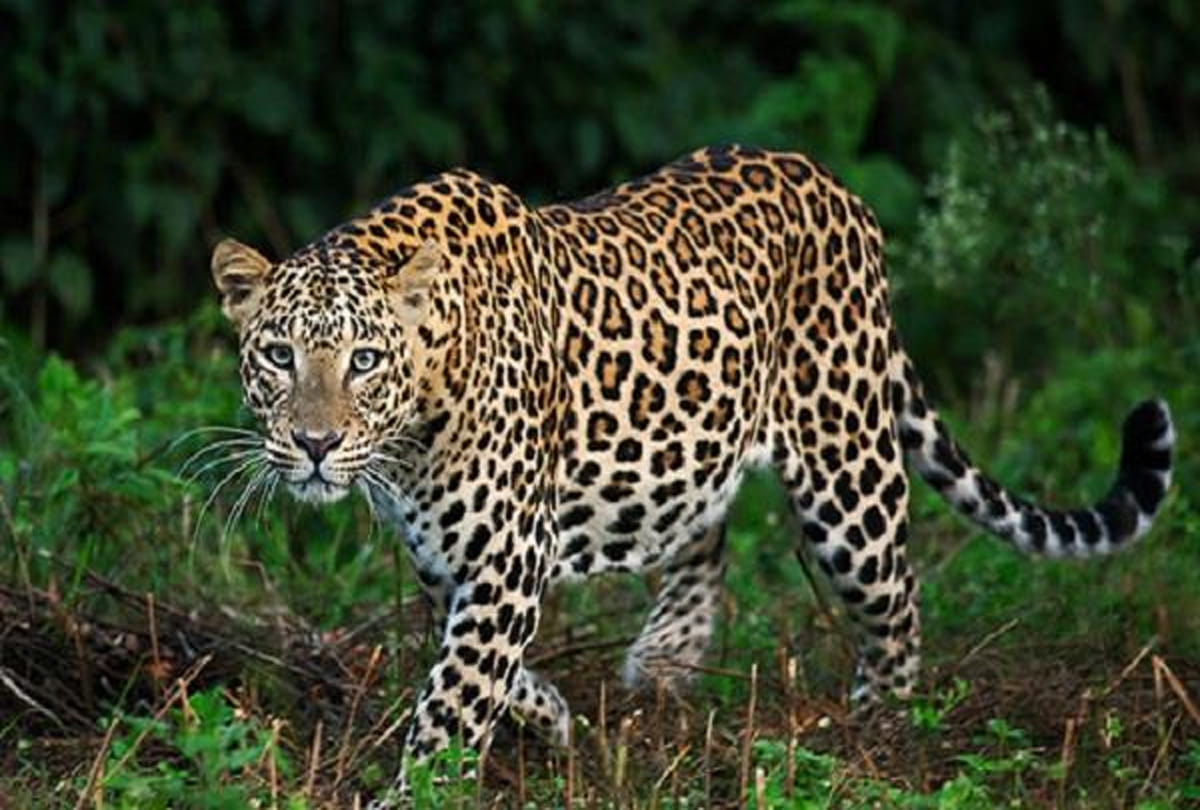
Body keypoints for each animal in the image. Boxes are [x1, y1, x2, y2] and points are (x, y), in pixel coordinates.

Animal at [208, 144, 1174, 800]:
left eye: (365, 360)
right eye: (278, 355)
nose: (315, 444)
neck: (413, 422)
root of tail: (835, 188)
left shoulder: (506, 554)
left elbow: (454, 698)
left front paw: (423, 788)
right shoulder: (452, 556)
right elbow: (482, 669)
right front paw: (551, 716)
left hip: (847, 472)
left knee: (897, 600)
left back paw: (883, 733)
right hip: (688, 444)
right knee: (705, 535)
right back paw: (667, 659)